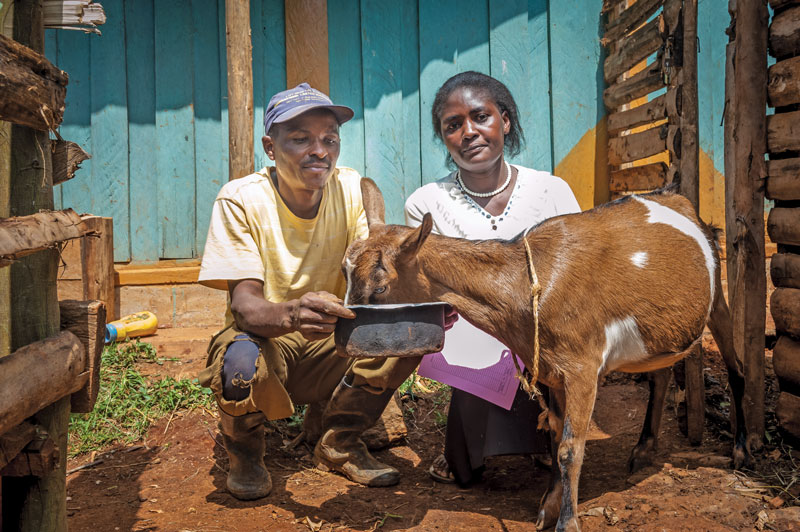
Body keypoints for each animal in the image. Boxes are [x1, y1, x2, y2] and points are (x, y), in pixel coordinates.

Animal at [346, 179, 752, 532]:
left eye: (380, 286)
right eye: (346, 273)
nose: (348, 329)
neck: (527, 286)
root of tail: (679, 199)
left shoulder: (582, 368)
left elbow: (570, 448)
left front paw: (567, 522)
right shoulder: (549, 370)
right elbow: (555, 438)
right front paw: (548, 507)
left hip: (718, 301)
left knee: (737, 369)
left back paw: (741, 451)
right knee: (661, 372)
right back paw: (643, 449)